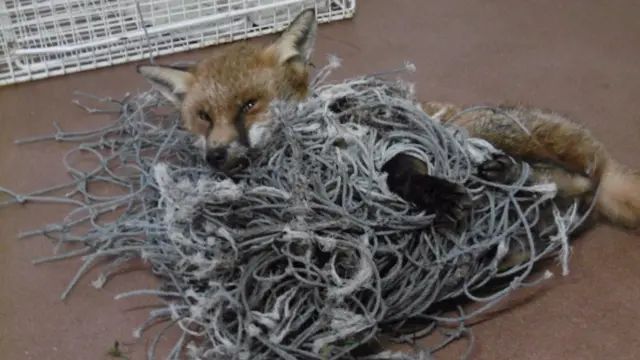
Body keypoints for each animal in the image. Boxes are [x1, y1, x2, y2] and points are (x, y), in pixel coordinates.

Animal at [136, 8, 640, 268]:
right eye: (203, 117)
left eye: (248, 106)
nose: (217, 157)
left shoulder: (384, 134)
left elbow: (398, 167)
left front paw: (434, 192)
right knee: (573, 190)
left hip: (486, 127)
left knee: (585, 181)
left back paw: (510, 174)